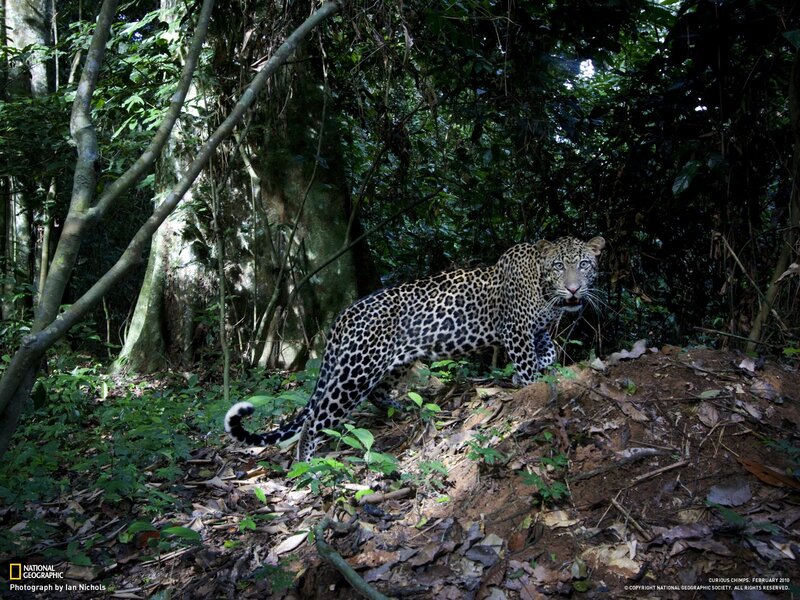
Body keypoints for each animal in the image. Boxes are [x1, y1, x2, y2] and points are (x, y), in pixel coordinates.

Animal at [225, 235, 605, 461]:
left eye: (585, 265)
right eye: (559, 266)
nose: (574, 290)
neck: (543, 287)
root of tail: (344, 316)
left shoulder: (537, 330)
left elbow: (548, 351)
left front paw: (545, 365)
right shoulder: (516, 330)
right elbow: (526, 365)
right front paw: (533, 385)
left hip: (395, 363)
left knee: (378, 394)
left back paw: (403, 408)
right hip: (355, 372)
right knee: (316, 420)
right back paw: (306, 466)